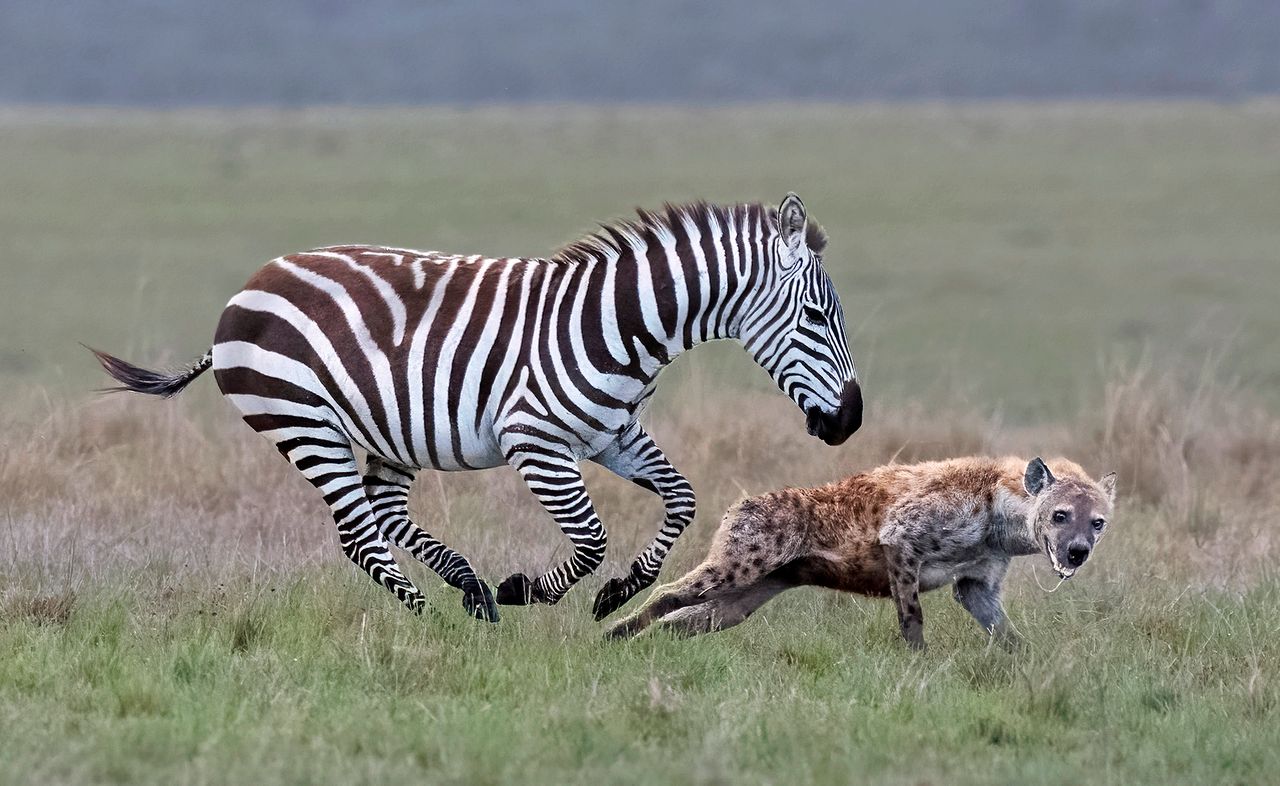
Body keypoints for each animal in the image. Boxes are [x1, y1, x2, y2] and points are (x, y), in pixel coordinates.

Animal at [90, 194, 860, 624]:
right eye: (817, 317)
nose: (849, 421)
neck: (622, 327)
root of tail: (250, 285)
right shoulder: (536, 443)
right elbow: (590, 540)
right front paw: (528, 589)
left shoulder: (613, 435)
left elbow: (683, 500)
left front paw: (616, 595)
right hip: (306, 423)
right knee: (360, 535)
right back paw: (438, 623)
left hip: (390, 431)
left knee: (385, 514)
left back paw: (467, 589)